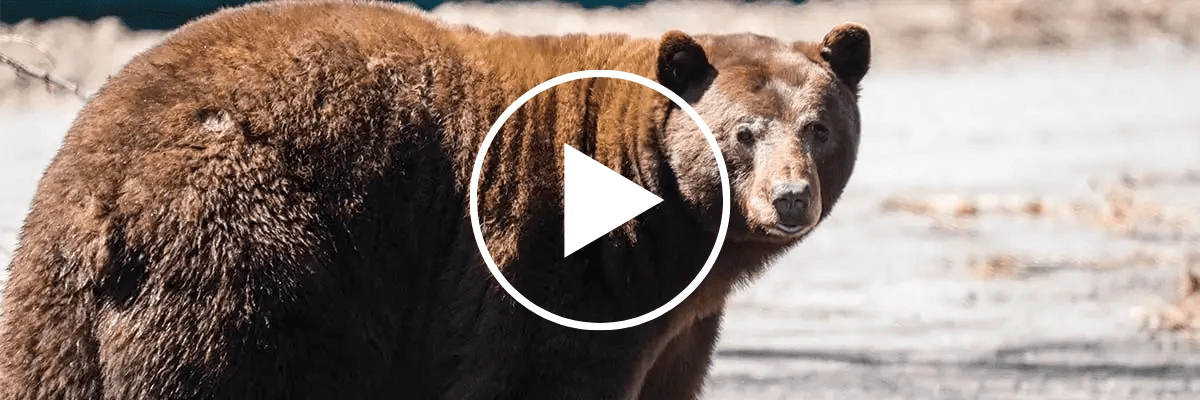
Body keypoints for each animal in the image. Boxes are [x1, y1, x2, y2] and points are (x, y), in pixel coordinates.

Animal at [0, 1, 870, 399]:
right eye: (744, 132)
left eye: (819, 127)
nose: (790, 198)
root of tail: (91, 201)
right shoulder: (557, 274)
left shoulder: (678, 323)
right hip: (252, 261)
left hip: (60, 323)